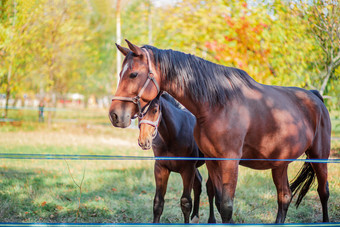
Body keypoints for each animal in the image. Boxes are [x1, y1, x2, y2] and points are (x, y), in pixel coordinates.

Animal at [137, 92, 215, 223]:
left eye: (155, 110)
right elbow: (158, 202)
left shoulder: (188, 170)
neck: (173, 136)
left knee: (210, 188)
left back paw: (211, 220)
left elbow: (186, 202)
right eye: (138, 112)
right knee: (198, 184)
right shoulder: (161, 168)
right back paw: (195, 217)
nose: (144, 141)